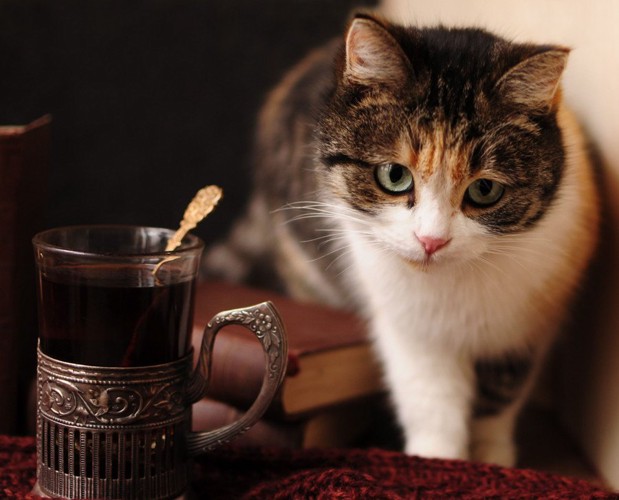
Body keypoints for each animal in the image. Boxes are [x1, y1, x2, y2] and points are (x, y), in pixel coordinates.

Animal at [207, 10, 600, 464]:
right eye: (394, 175)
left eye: (485, 190)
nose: (431, 240)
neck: (455, 284)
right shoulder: (412, 327)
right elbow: (431, 399)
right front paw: (439, 461)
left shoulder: (530, 320)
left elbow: (500, 394)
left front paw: (493, 457)